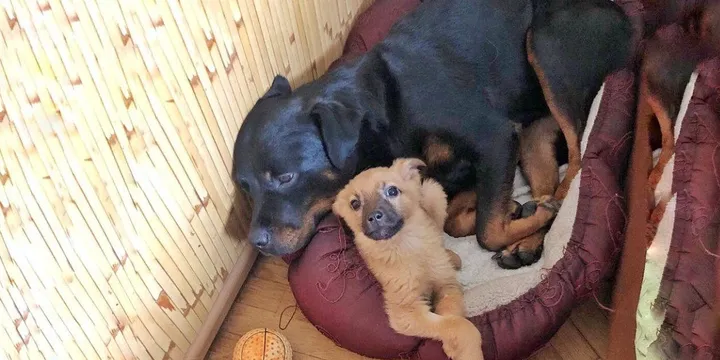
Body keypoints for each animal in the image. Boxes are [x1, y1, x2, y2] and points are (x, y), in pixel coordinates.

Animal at [233, 0, 632, 268]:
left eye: (285, 177)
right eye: (245, 188)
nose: (257, 242)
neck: (382, 109)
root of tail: (628, 18)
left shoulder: (495, 139)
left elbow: (487, 232)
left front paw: (518, 217)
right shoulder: (467, 167)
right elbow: (458, 220)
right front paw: (515, 211)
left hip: (548, 47)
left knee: (578, 160)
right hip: (534, 131)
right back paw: (531, 236)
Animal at [332, 159, 484, 360]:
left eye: (392, 191)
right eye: (355, 204)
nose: (374, 217)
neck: (406, 245)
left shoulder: (447, 285)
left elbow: (453, 313)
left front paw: (455, 346)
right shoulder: (406, 311)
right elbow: (457, 323)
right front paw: (464, 348)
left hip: (432, 191)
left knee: (438, 232)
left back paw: (451, 256)